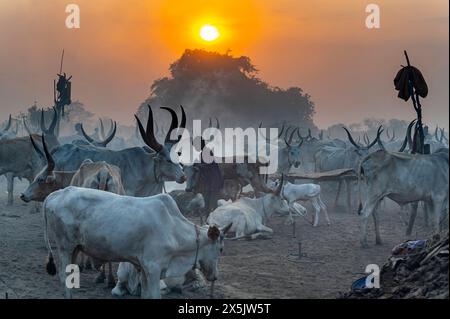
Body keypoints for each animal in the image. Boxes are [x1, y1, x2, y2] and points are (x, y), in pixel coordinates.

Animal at [43, 188, 232, 300]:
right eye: (221, 249)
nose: (215, 276)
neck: (173, 229)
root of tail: (56, 194)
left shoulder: (144, 268)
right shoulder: (153, 268)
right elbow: (154, 296)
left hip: (75, 249)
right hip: (65, 247)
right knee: (64, 277)